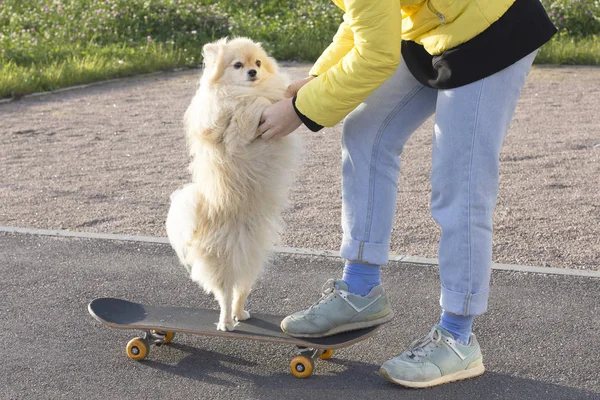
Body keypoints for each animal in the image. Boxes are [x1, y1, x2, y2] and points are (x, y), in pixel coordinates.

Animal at [165, 36, 300, 332]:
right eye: (238, 65)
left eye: (257, 62)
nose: (252, 72)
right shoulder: (234, 135)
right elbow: (247, 110)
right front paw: (256, 100)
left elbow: (264, 98)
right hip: (222, 261)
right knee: (225, 294)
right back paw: (226, 322)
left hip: (250, 260)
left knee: (241, 289)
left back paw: (241, 313)